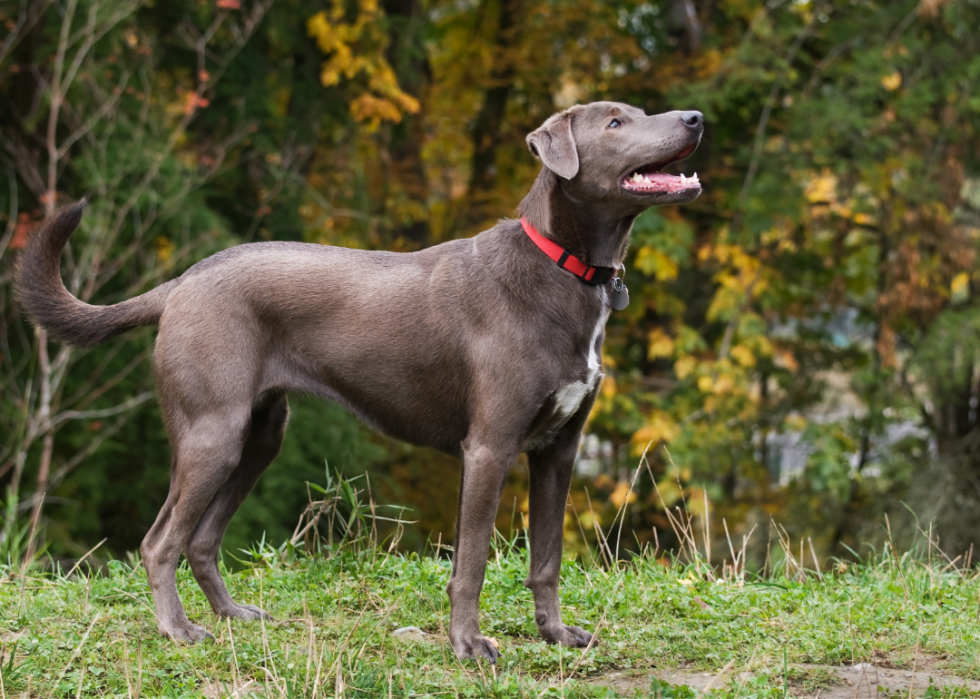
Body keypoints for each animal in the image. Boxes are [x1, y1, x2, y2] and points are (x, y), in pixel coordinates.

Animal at [17, 98, 704, 660]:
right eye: (614, 123)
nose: (696, 119)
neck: (560, 267)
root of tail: (180, 282)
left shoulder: (560, 450)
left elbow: (548, 558)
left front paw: (556, 635)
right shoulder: (489, 448)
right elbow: (472, 563)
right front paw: (468, 644)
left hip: (259, 437)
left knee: (202, 540)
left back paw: (233, 615)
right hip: (212, 433)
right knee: (160, 541)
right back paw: (179, 631)